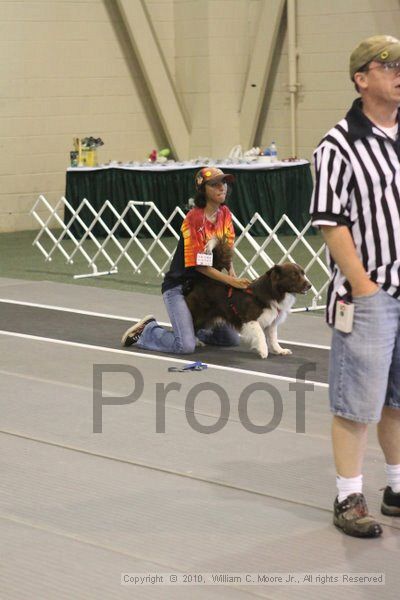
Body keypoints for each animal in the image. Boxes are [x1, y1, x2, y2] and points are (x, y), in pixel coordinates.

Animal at [184, 241, 312, 358]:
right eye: (294, 275)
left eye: (303, 273)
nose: (310, 285)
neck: (272, 291)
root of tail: (202, 281)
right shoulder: (251, 319)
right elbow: (260, 334)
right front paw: (263, 351)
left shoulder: (271, 321)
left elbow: (273, 337)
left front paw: (279, 350)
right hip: (200, 314)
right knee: (192, 327)